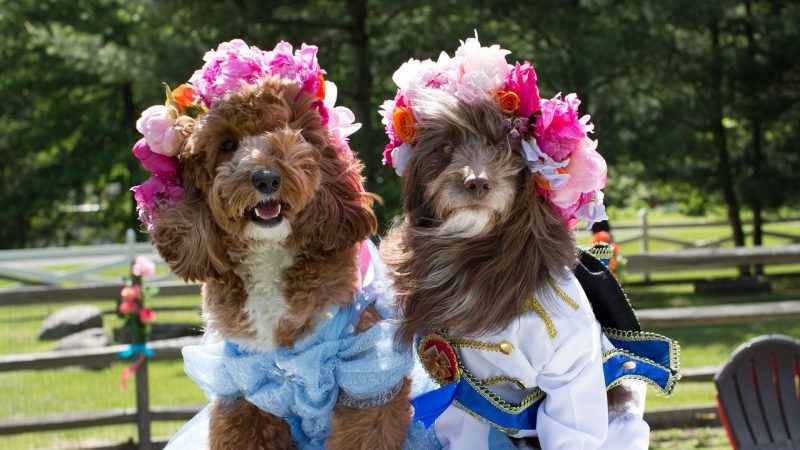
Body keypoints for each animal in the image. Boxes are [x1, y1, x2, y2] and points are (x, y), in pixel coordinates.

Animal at [152, 76, 410, 450]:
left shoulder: (367, 376)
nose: (266, 178)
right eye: (227, 144)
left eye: (286, 132)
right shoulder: (243, 388)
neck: (270, 254)